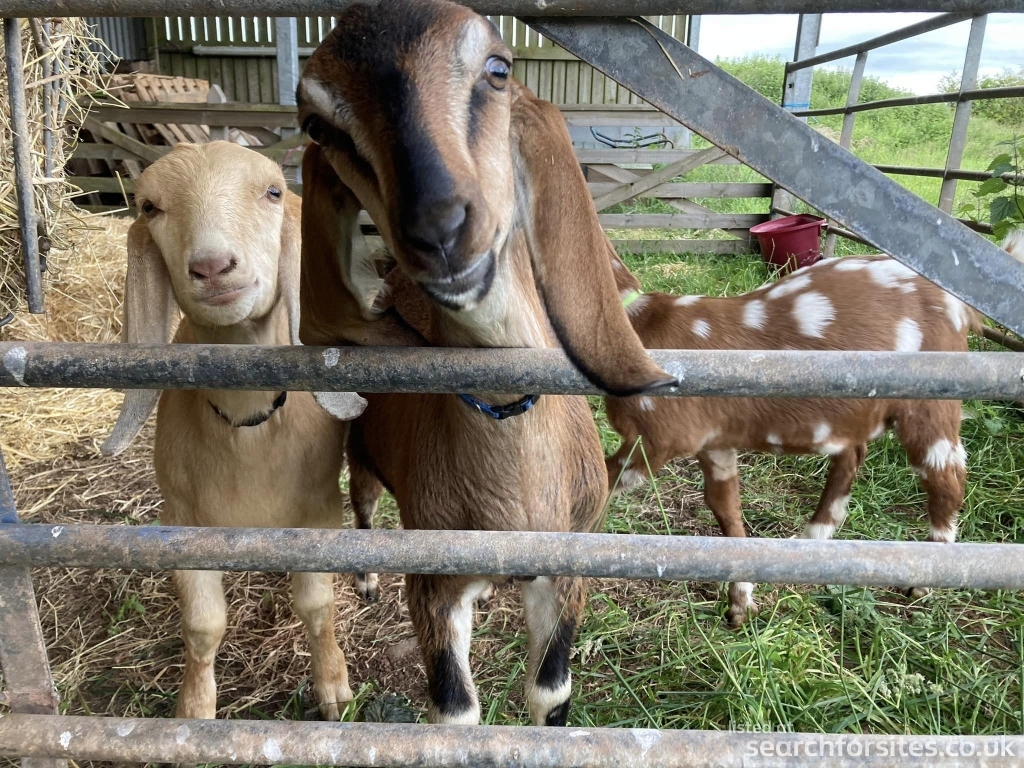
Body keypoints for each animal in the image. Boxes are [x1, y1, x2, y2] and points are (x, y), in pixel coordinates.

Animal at [100, 141, 367, 720]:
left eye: (273, 191)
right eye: (150, 206)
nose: (213, 266)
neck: (247, 427)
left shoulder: (319, 509)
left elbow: (316, 605)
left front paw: (333, 687)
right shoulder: (182, 521)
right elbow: (203, 626)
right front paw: (194, 709)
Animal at [295, 0, 674, 726]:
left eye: (498, 69)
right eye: (317, 125)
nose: (438, 229)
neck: (514, 493)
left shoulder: (567, 573)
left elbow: (550, 690)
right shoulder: (435, 588)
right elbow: (455, 709)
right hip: (363, 461)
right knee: (361, 504)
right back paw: (364, 574)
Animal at [606, 253, 978, 628]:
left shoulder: (655, 437)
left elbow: (604, 479)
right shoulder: (714, 442)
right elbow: (725, 506)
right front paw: (741, 603)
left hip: (931, 397)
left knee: (946, 476)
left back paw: (924, 580)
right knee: (854, 453)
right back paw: (813, 538)